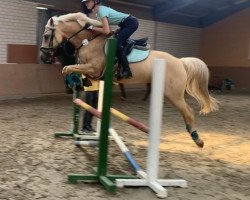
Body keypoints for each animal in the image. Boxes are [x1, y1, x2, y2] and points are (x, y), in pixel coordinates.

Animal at [40, 12, 219, 147]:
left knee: (188, 111)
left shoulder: (94, 68)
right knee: (185, 111)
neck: (88, 41)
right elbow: (72, 71)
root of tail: (180, 62)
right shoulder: (92, 71)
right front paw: (80, 82)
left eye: (47, 35)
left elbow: (67, 68)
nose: (43, 57)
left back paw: (197, 139)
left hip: (173, 94)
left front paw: (74, 82)